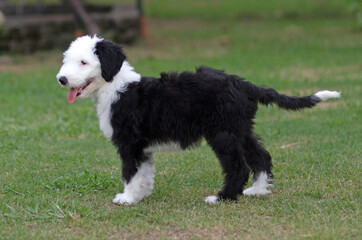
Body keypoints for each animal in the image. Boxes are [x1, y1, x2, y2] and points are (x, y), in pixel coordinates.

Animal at [55, 35, 340, 204]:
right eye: (68, 60)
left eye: (84, 62)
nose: (62, 79)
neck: (116, 87)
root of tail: (242, 84)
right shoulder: (141, 147)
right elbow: (144, 172)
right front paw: (141, 194)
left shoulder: (130, 143)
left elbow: (130, 171)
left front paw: (127, 198)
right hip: (241, 129)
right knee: (261, 156)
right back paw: (257, 190)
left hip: (223, 134)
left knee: (238, 167)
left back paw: (223, 197)